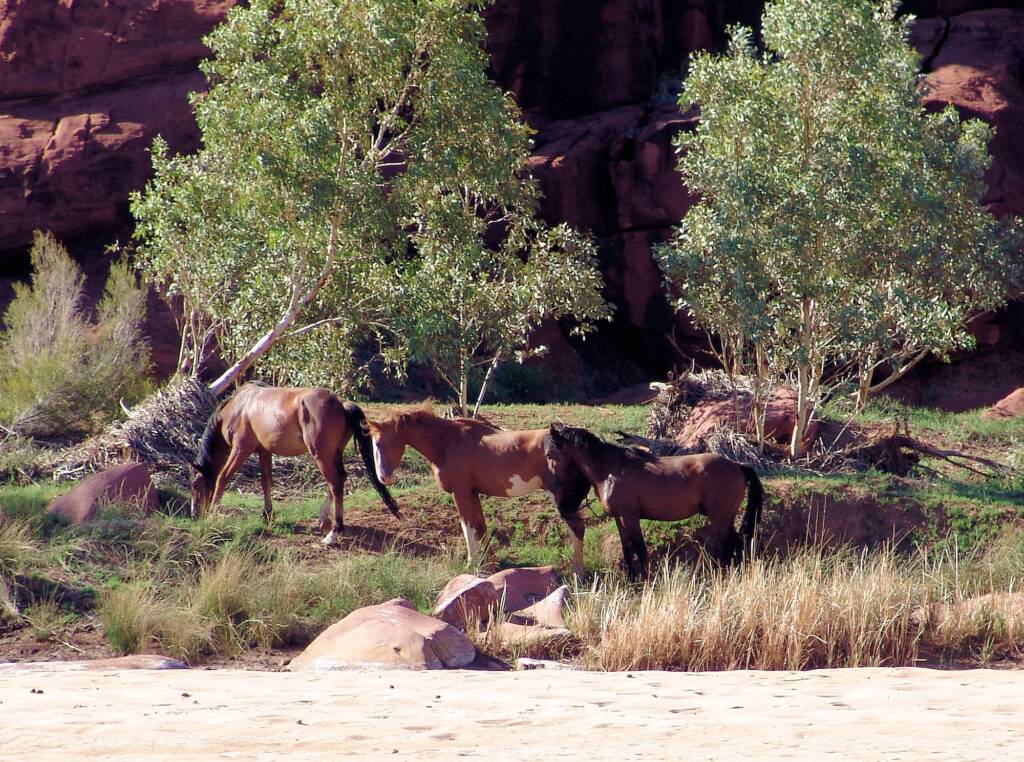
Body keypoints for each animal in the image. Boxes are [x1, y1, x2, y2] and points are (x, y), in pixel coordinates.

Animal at [190, 381, 401, 545]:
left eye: (194, 485)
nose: (194, 514)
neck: (240, 407)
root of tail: (341, 404)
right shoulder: (264, 452)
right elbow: (266, 482)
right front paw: (267, 514)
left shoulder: (241, 449)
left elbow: (222, 477)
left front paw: (213, 513)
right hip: (333, 455)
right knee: (340, 479)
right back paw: (324, 520)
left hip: (321, 456)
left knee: (335, 484)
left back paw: (334, 532)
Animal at [367, 406, 591, 571]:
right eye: (374, 444)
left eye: (380, 443)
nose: (384, 478)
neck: (447, 442)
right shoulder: (472, 494)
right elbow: (480, 527)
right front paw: (491, 563)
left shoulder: (460, 493)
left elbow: (467, 527)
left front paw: (472, 564)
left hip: (560, 497)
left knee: (577, 528)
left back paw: (577, 571)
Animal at [543, 424, 763, 580]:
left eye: (549, 454)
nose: (553, 486)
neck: (613, 470)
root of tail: (737, 466)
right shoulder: (619, 518)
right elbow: (627, 549)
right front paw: (631, 580)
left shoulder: (630, 518)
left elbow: (640, 549)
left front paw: (646, 581)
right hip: (725, 519)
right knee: (736, 546)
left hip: (719, 519)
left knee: (729, 546)